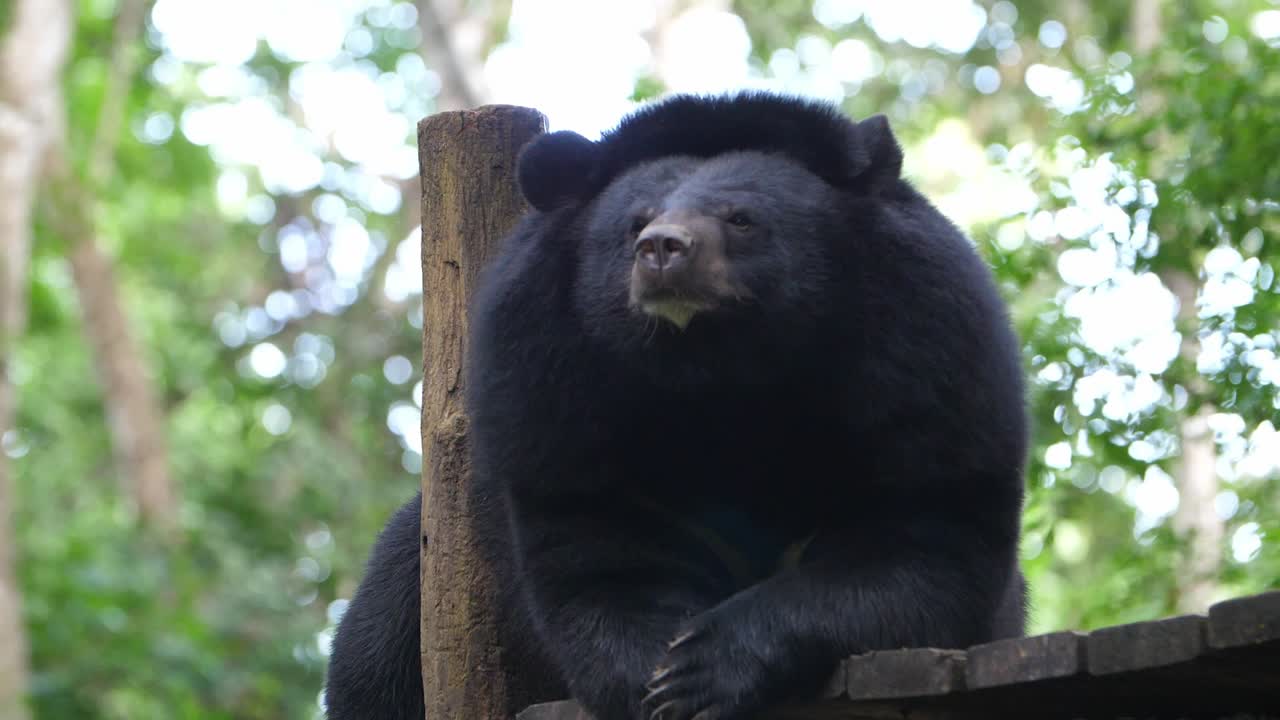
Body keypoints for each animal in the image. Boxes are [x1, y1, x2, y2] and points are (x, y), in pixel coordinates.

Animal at [323, 91, 1029, 720]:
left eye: (740, 217)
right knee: (378, 650)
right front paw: (656, 679)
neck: (713, 370)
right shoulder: (545, 383)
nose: (663, 249)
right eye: (635, 221)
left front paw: (707, 669)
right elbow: (600, 551)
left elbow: (921, 533)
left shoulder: (925, 346)